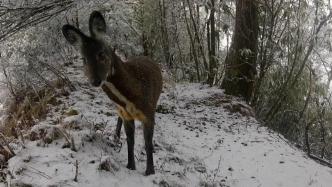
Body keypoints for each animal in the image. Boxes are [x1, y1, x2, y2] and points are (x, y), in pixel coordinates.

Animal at [62, 11, 162, 175]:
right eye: (84, 59)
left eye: (101, 54)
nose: (95, 81)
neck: (134, 96)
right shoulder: (127, 114)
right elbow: (130, 141)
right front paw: (130, 166)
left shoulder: (148, 113)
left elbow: (148, 143)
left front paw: (150, 171)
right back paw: (115, 136)